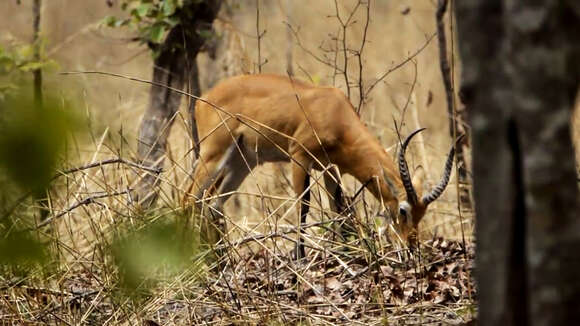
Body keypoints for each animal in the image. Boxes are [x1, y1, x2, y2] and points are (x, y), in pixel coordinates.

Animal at [185, 74, 458, 258]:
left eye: (422, 214)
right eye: (403, 210)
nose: (410, 245)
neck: (335, 113)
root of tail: (201, 100)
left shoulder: (330, 168)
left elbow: (338, 209)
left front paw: (344, 251)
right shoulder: (299, 157)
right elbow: (303, 207)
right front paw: (299, 256)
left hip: (241, 163)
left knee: (212, 205)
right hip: (213, 156)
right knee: (188, 198)